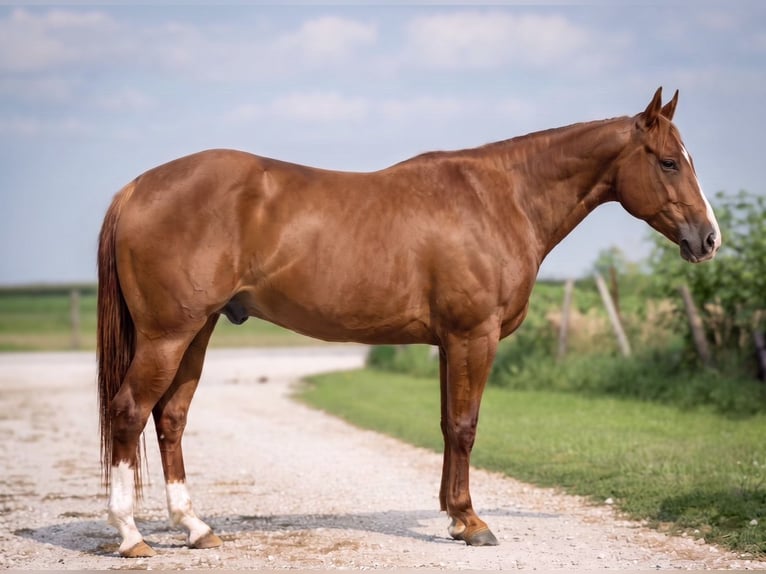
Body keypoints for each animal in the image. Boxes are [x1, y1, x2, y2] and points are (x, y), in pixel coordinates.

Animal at [96, 88, 720, 557]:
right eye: (669, 161)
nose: (708, 239)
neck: (501, 197)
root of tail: (136, 188)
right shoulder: (474, 336)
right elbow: (466, 426)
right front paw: (473, 523)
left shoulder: (448, 341)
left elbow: (448, 425)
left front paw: (455, 517)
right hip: (168, 336)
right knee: (128, 412)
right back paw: (130, 536)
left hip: (196, 332)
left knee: (170, 418)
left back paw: (196, 528)